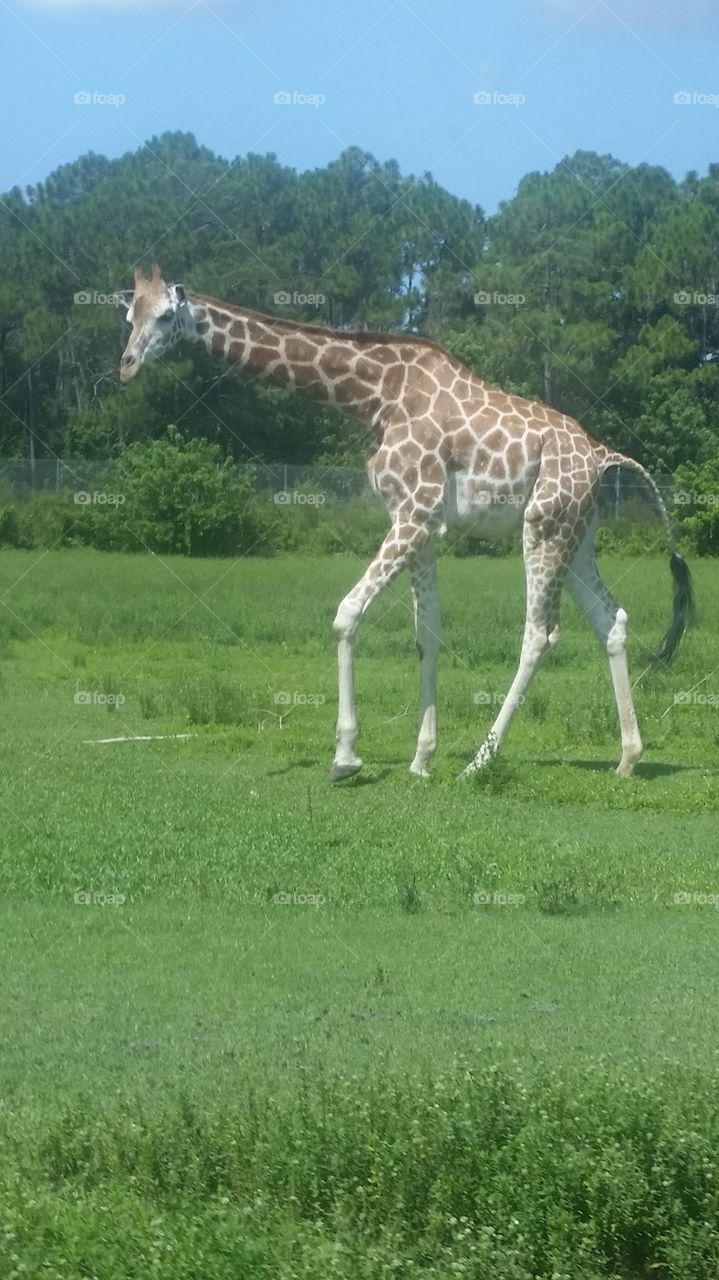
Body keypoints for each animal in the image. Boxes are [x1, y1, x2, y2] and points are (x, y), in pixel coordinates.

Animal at [119, 264, 694, 782]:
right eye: (128, 313)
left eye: (166, 315)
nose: (126, 364)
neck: (376, 395)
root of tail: (603, 457)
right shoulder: (422, 522)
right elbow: (427, 632)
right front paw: (420, 760)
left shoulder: (414, 512)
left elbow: (347, 615)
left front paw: (345, 759)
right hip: (578, 533)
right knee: (610, 620)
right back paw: (627, 759)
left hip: (543, 527)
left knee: (541, 633)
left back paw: (479, 762)